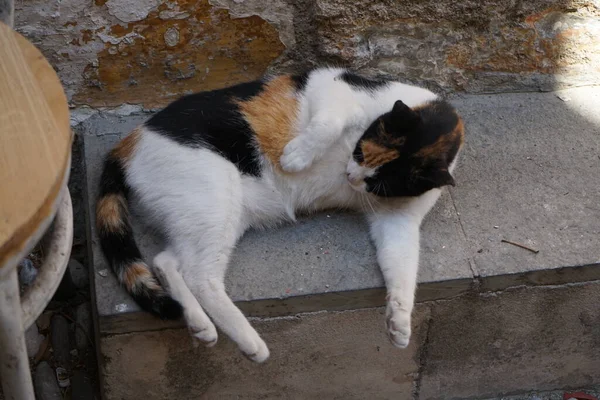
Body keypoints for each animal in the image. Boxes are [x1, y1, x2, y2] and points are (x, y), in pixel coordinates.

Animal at [97, 68, 464, 362]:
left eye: (378, 183)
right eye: (360, 152)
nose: (350, 177)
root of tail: (126, 145)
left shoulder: (397, 221)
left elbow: (403, 268)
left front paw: (399, 320)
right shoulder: (330, 84)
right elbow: (329, 122)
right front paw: (296, 157)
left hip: (210, 217)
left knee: (168, 262)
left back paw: (201, 326)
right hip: (214, 200)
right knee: (198, 275)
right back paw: (251, 343)